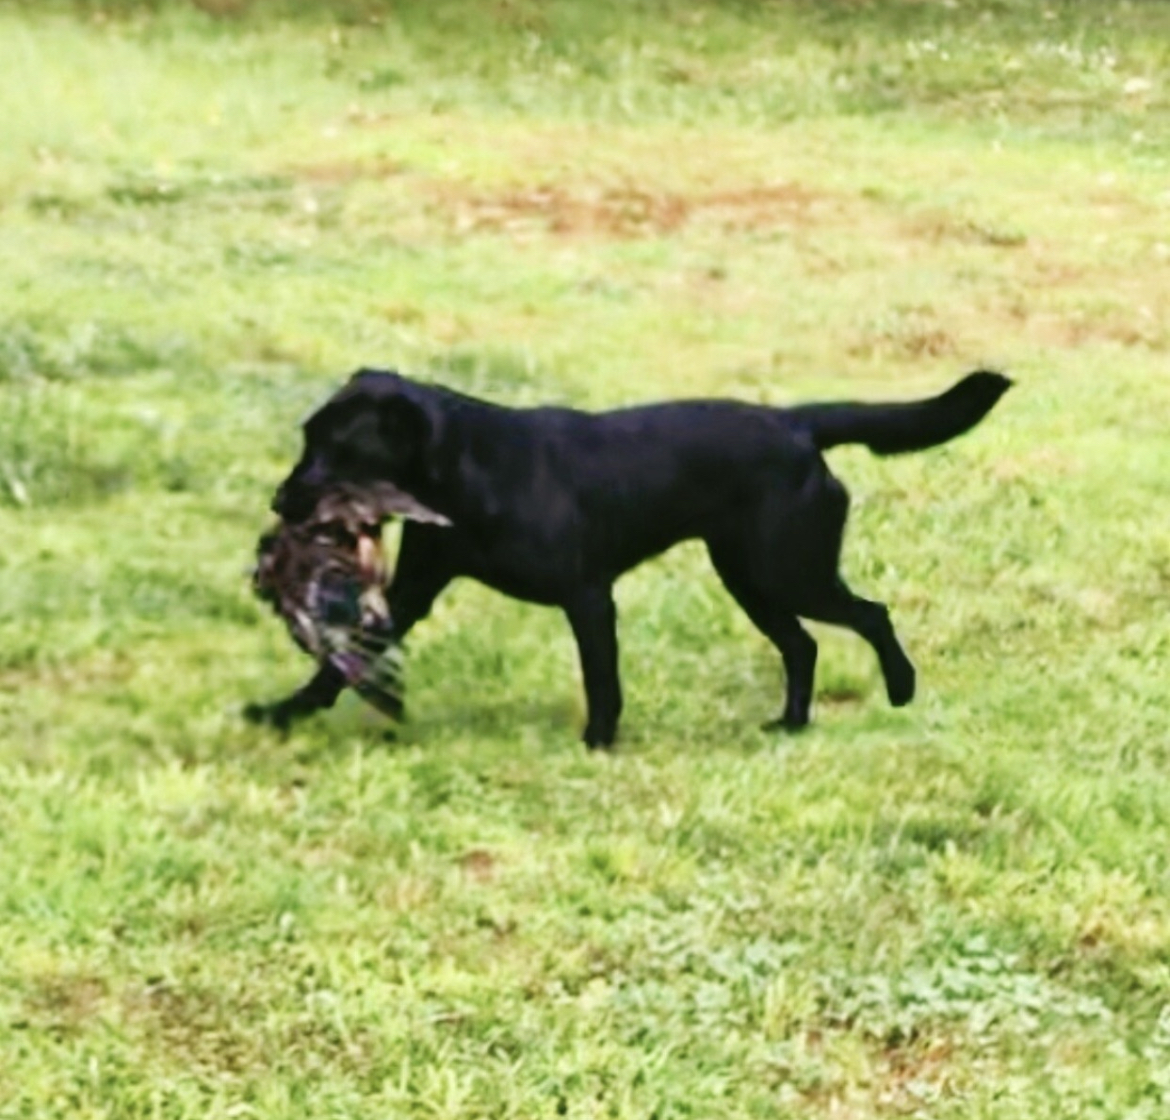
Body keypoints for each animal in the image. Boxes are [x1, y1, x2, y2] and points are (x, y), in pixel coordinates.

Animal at [249, 372, 1015, 749]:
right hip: (749, 576)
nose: (281, 500)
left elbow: (602, 681)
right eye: (307, 437)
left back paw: (901, 690)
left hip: (788, 569)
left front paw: (599, 743)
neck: (472, 472)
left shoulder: (589, 596)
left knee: (871, 615)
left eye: (339, 449)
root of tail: (795, 422)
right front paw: (283, 713)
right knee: (803, 647)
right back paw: (791, 724)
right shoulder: (411, 592)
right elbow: (336, 665)